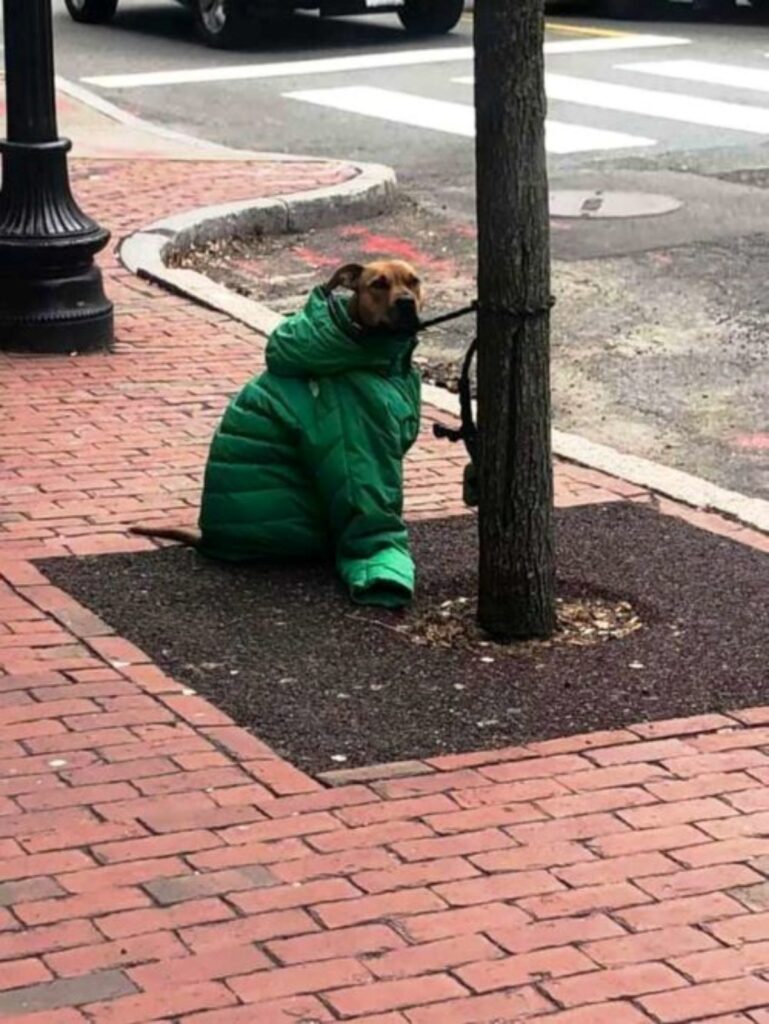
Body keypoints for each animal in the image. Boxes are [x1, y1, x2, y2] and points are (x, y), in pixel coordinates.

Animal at [130, 260, 423, 606]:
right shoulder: (360, 436)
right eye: (378, 284)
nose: (406, 303)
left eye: (414, 281)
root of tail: (209, 539)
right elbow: (369, 506)